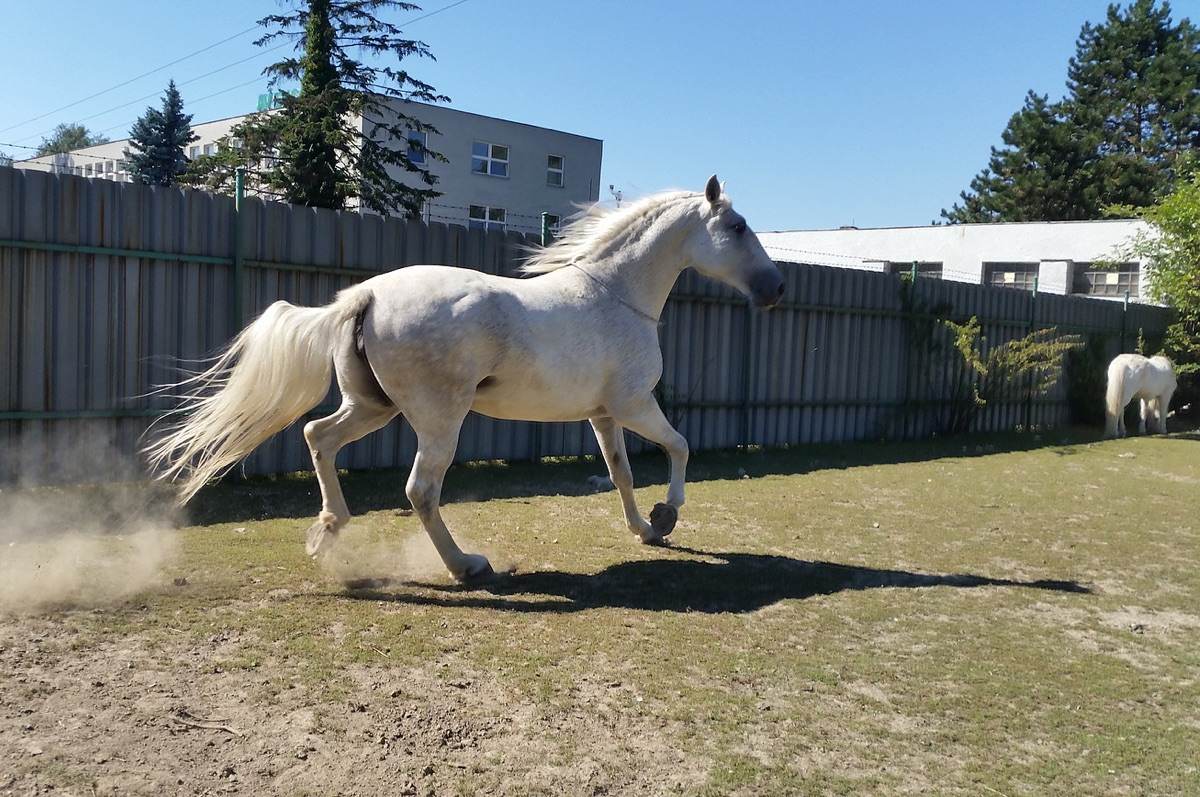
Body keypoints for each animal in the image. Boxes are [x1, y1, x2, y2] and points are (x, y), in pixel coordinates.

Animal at [145, 177, 787, 583]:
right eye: (737, 226)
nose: (776, 289)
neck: (614, 296)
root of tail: (364, 295)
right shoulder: (635, 405)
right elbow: (680, 447)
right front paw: (667, 514)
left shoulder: (603, 415)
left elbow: (621, 473)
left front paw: (643, 528)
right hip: (439, 419)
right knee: (420, 491)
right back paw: (465, 567)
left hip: (372, 407)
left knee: (317, 437)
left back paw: (327, 536)